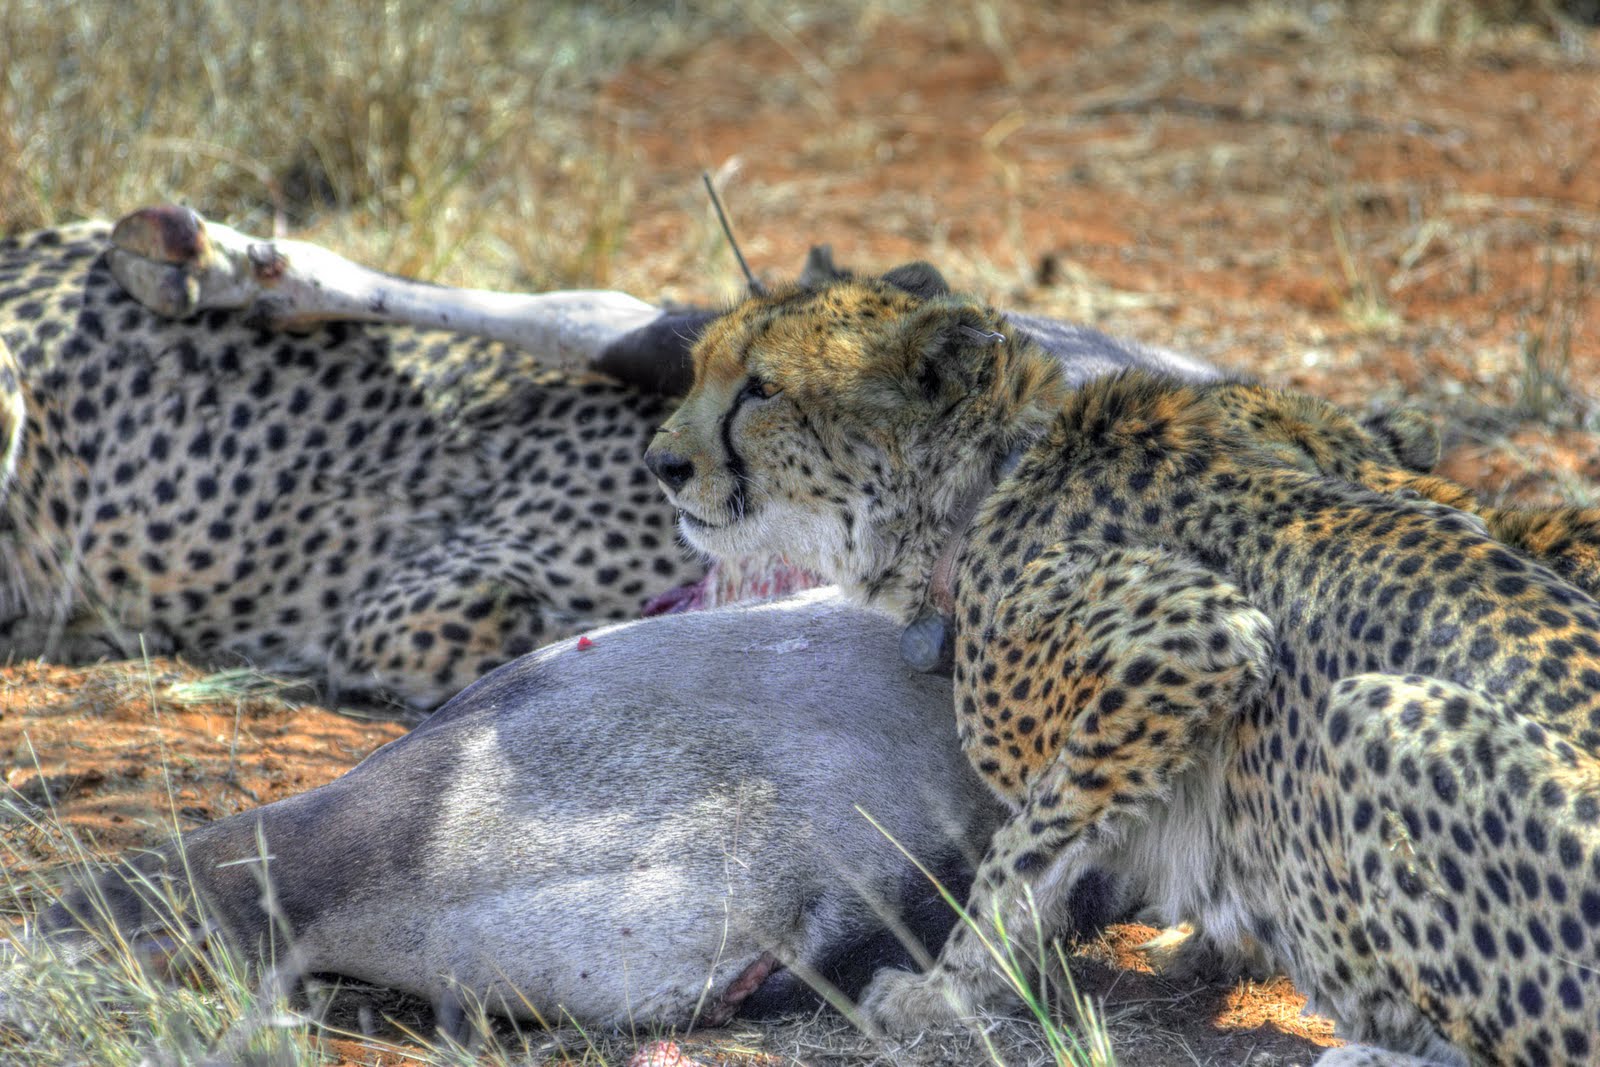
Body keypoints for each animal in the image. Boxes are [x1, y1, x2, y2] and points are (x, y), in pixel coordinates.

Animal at [644, 267, 1600, 1065]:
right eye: (703, 371)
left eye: (762, 389)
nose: (661, 463)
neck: (986, 487)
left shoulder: (1199, 633)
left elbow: (1019, 852)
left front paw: (941, 994)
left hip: (1374, 713)